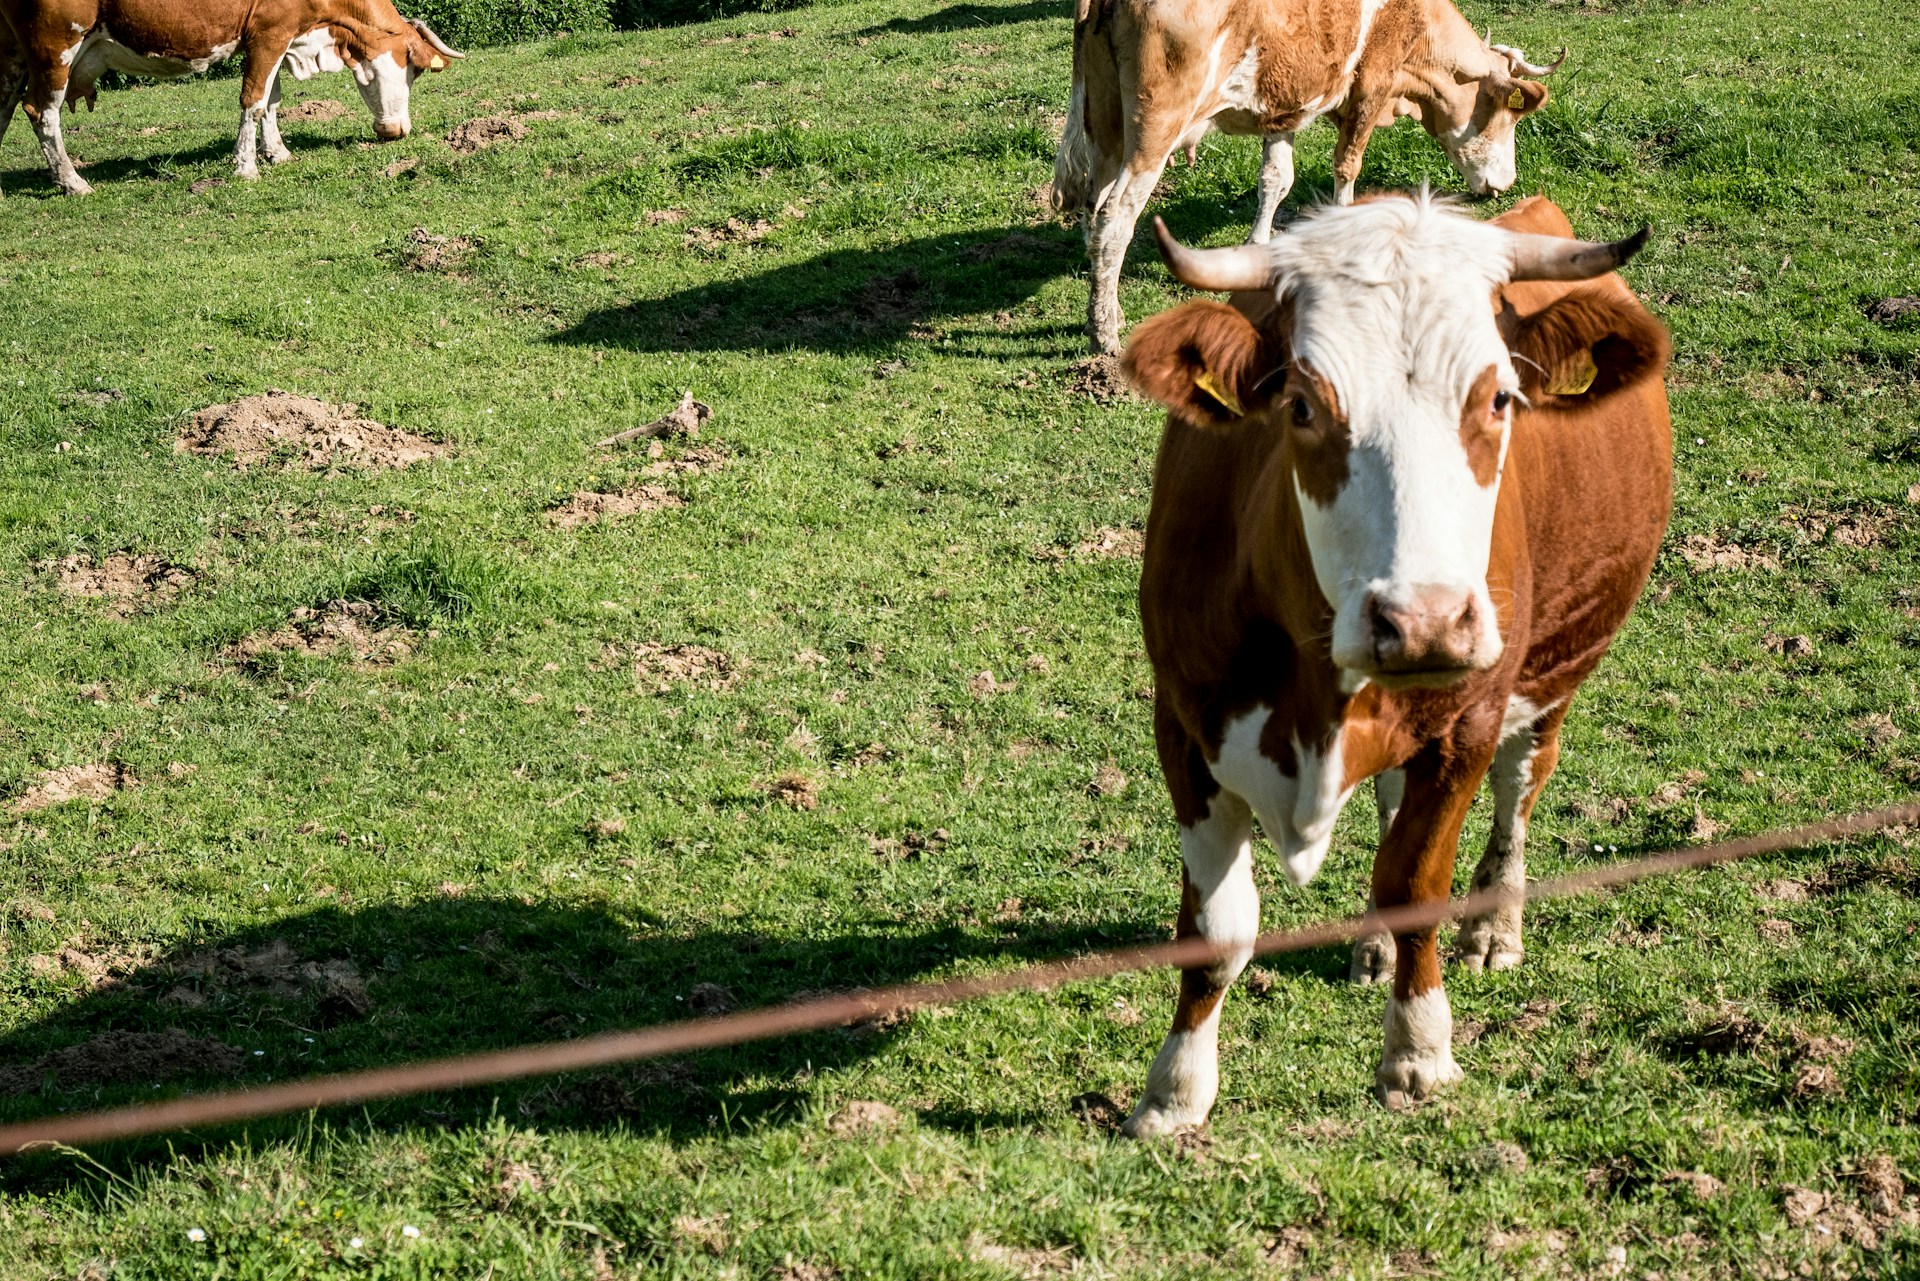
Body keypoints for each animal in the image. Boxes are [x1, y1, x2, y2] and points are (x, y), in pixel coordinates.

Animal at [0, 0, 461, 196]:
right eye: (415, 69)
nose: (398, 131)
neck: (320, 38)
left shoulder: (281, 37)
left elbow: (272, 99)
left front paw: (277, 152)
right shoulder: (270, 32)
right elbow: (254, 100)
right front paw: (246, 166)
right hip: (54, 44)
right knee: (41, 111)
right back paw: (72, 181)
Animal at [1055, 0, 1565, 353]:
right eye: (1510, 117)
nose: (1506, 183)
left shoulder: (1286, 106)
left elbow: (1276, 178)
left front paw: (1258, 248)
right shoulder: (1372, 84)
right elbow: (1347, 165)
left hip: (1105, 125)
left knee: (1092, 207)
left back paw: (1106, 307)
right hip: (1155, 130)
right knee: (1116, 217)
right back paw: (1104, 331)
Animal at [1115, 192, 1670, 1134]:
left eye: (1500, 395)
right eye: (1302, 405)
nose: (1424, 622)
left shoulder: (1468, 723)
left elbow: (1417, 881)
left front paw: (1418, 1052)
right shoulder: (1183, 725)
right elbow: (1219, 928)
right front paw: (1175, 1089)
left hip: (1553, 668)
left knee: (1520, 786)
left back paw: (1495, 924)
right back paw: (1371, 944)